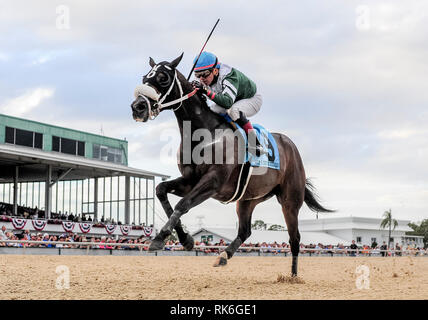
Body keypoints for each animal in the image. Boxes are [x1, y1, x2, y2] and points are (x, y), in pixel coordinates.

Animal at [130, 53, 334, 276]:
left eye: (163, 77)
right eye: (144, 78)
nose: (137, 107)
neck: (203, 133)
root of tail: (291, 146)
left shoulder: (213, 182)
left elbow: (182, 204)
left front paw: (159, 238)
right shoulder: (190, 180)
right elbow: (161, 191)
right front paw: (186, 240)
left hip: (290, 200)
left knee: (294, 238)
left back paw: (293, 276)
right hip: (248, 199)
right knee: (245, 231)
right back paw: (223, 256)